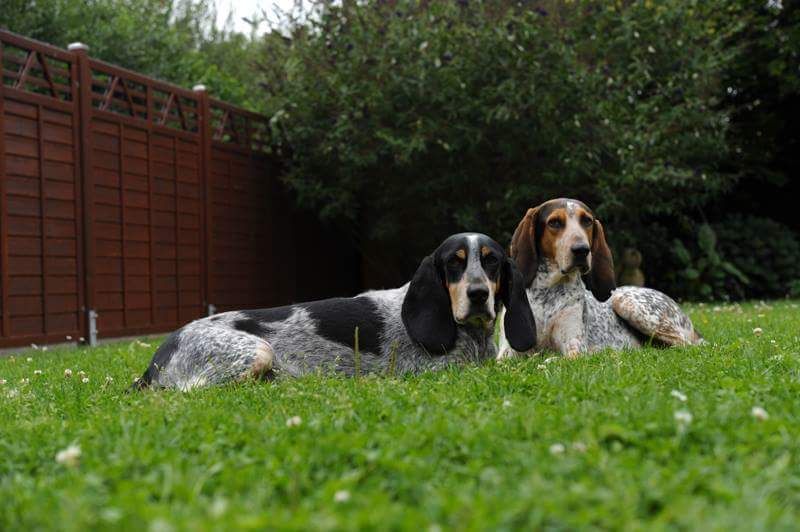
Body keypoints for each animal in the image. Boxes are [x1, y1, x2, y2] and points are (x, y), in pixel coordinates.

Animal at [496, 197, 704, 360]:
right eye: (554, 222)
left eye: (587, 221)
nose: (582, 250)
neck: (549, 291)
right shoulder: (508, 350)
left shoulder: (574, 345)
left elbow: (557, 358)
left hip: (625, 302)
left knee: (684, 345)